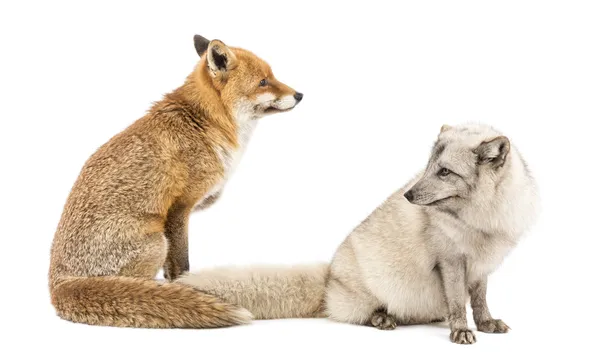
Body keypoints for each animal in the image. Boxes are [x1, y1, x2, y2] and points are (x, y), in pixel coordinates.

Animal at [48, 34, 302, 328]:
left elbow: (174, 269)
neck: (206, 123)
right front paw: (184, 288)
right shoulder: (180, 208)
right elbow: (182, 264)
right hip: (156, 242)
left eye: (272, 76)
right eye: (263, 81)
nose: (299, 95)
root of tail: (56, 285)